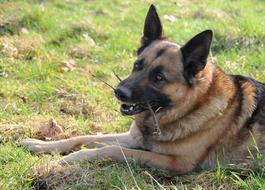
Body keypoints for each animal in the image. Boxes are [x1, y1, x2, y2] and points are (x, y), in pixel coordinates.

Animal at [19, 4, 264, 174]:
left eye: (159, 77)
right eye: (137, 65)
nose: (119, 92)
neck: (188, 107)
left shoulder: (174, 162)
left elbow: (113, 150)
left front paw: (75, 158)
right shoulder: (134, 138)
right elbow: (82, 137)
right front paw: (40, 145)